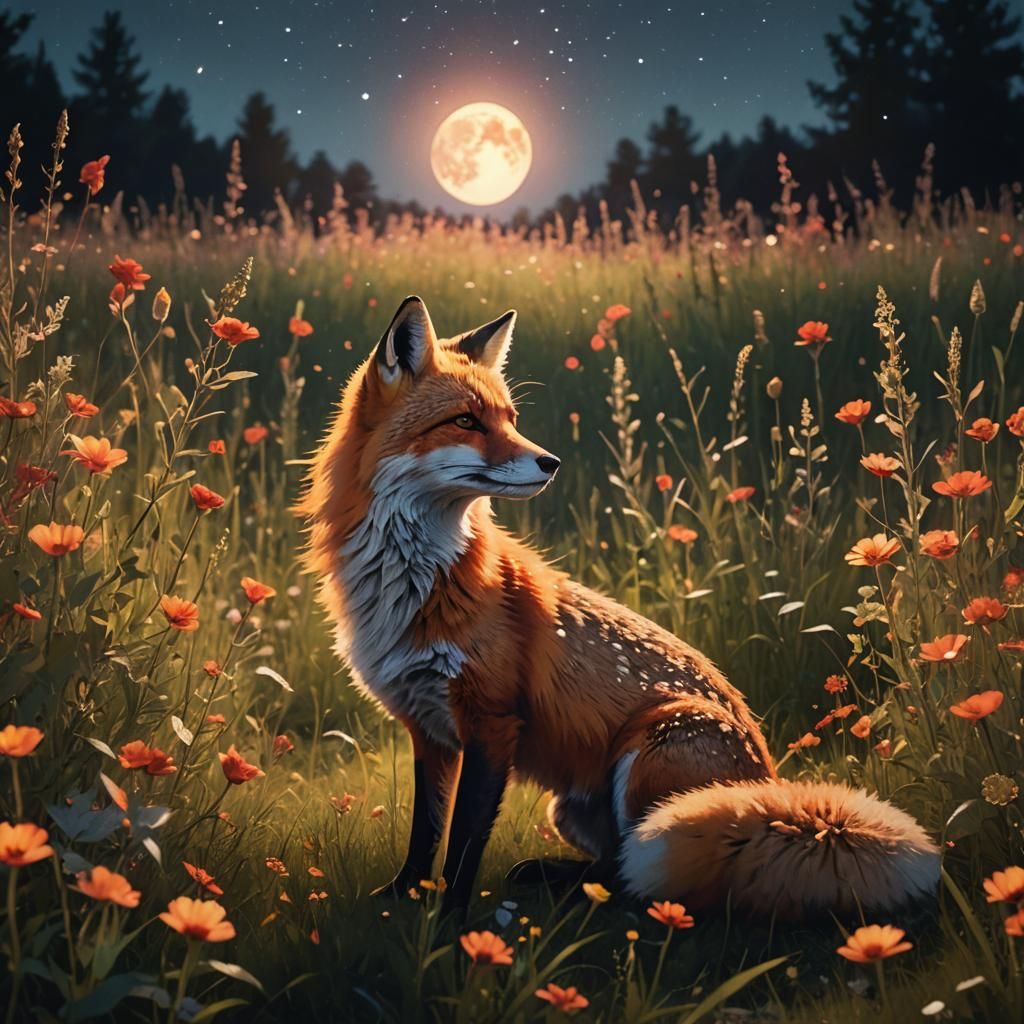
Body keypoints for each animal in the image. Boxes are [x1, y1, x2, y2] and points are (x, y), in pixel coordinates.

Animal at [298, 295, 940, 919]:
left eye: (510, 420)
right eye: (465, 421)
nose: (550, 462)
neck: (410, 583)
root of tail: (773, 788)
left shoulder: (491, 721)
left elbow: (463, 842)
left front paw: (450, 922)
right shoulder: (429, 728)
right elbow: (426, 831)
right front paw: (402, 898)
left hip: (651, 754)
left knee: (644, 879)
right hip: (569, 807)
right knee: (616, 864)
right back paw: (554, 877)